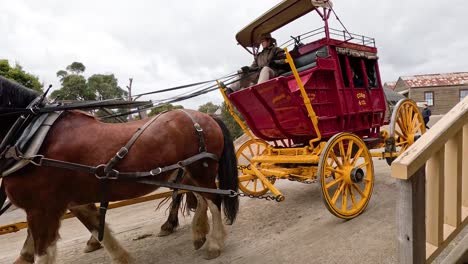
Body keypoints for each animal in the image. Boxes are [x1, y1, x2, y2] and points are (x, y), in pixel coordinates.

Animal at [0, 77, 239, 262]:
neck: (32, 137)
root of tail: (207, 116)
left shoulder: (42, 209)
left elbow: (42, 252)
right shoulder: (72, 203)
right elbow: (100, 231)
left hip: (201, 170)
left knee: (214, 200)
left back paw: (214, 243)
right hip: (185, 172)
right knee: (200, 198)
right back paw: (198, 234)